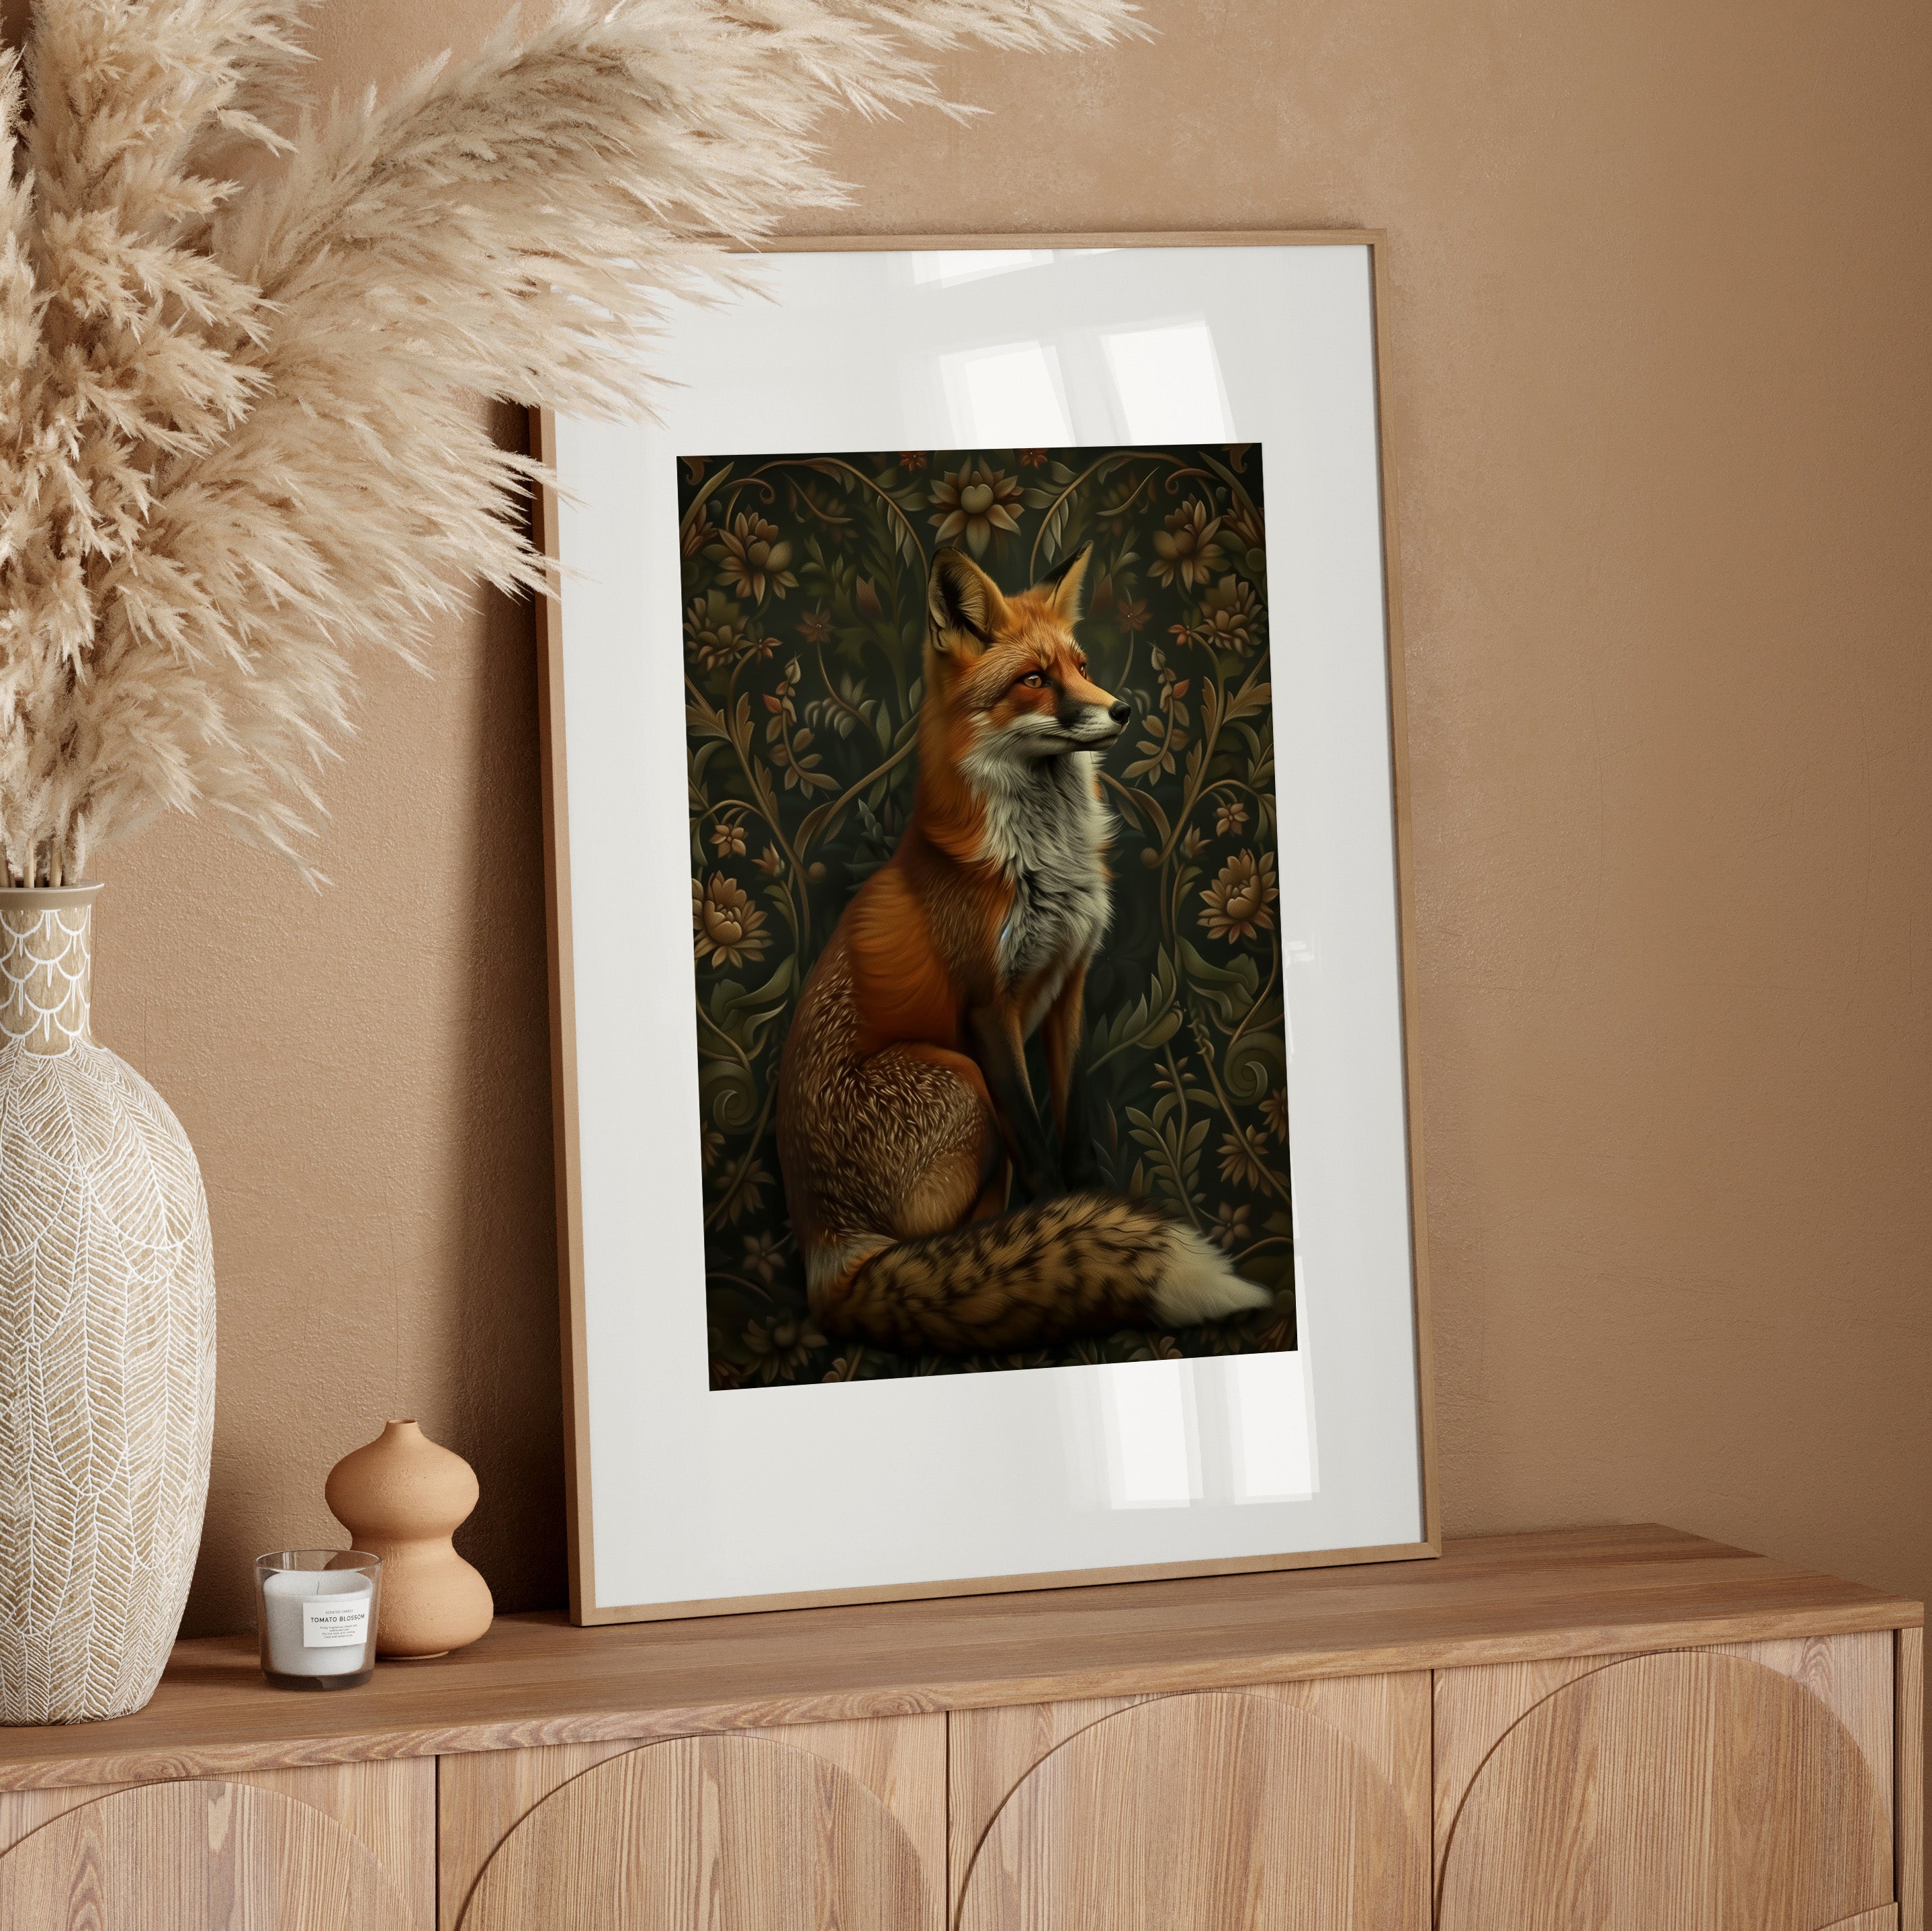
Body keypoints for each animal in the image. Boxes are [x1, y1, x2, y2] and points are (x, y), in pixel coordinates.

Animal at [774, 541, 1270, 1354]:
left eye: (1081, 663)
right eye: (1034, 679)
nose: (1122, 709)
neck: (1042, 863)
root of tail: (827, 1253)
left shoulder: (1068, 984)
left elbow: (1071, 1119)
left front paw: (1088, 1199)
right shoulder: (987, 1008)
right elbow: (1036, 1146)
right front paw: (1056, 1223)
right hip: (959, 1076)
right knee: (958, 1228)